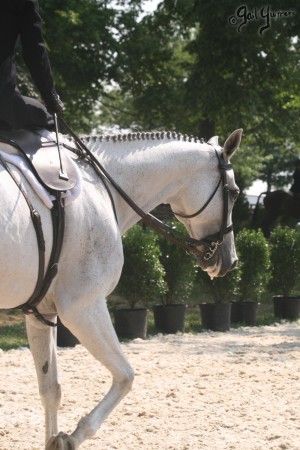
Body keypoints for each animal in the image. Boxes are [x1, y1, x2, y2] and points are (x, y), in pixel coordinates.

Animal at [0, 127, 241, 450]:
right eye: (234, 192)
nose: (229, 260)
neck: (102, 186)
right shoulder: (83, 308)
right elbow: (126, 375)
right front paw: (74, 436)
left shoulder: (42, 312)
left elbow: (50, 387)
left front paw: (56, 439)